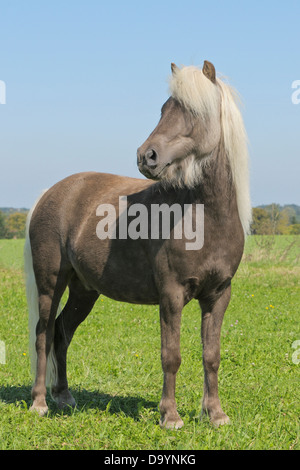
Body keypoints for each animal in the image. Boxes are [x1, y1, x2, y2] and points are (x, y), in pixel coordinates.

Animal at [25, 61, 251, 430]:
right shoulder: (171, 295)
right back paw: (40, 403)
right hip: (51, 283)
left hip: (84, 290)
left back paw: (65, 396)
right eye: (164, 109)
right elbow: (171, 355)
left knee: (62, 331)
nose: (147, 156)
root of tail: (51, 193)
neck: (204, 217)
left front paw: (215, 414)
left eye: (195, 112)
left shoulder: (219, 296)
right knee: (43, 334)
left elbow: (212, 355)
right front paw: (170, 416)